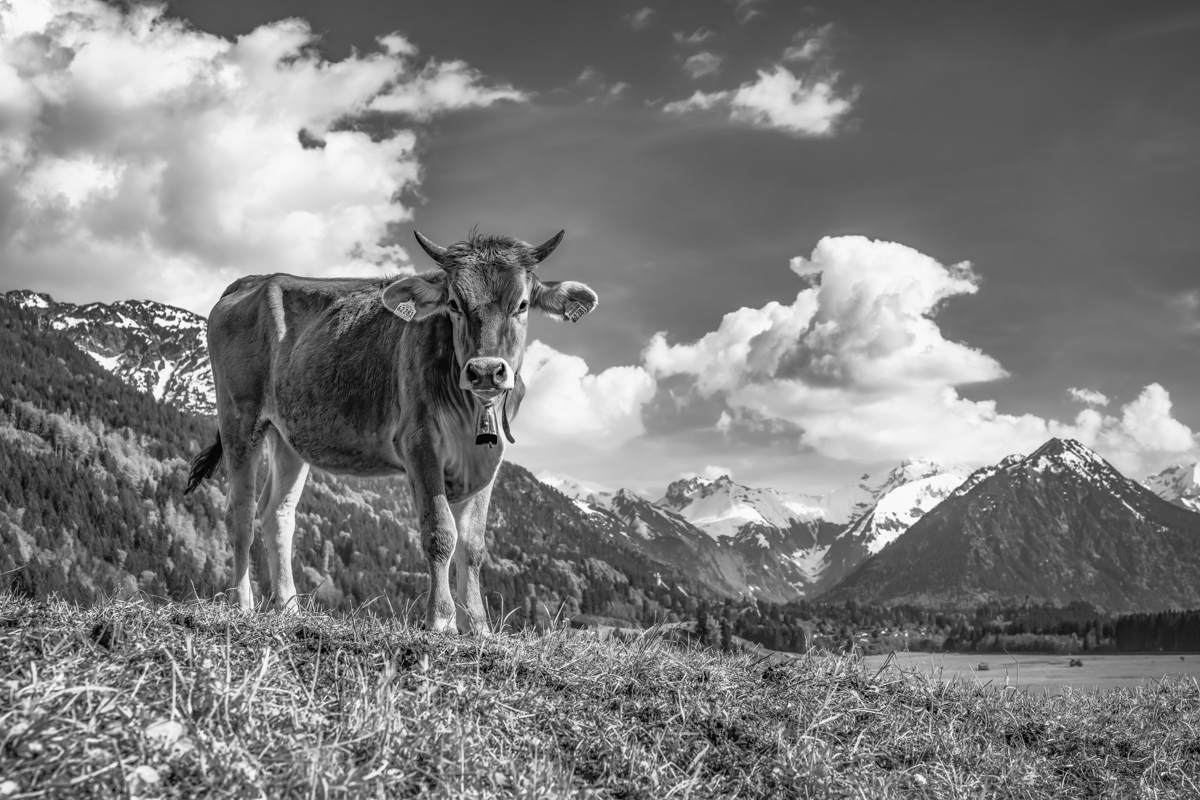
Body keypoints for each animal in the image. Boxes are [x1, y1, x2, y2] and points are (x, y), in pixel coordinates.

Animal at [184, 230, 598, 634]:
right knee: (240, 512)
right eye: (454, 304)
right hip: (239, 416)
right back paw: (242, 604)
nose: (484, 371)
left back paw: (288, 609)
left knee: (277, 514)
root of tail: (254, 280)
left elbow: (474, 544)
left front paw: (478, 625)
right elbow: (440, 532)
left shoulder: (489, 457)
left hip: (289, 435)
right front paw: (441, 619)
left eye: (523, 305)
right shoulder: (420, 442)